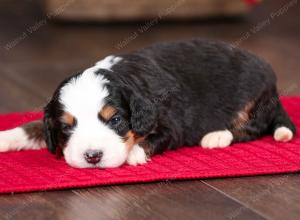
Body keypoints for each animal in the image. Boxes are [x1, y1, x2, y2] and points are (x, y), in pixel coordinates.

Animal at [0, 38, 296, 168]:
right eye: (66, 127)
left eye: (116, 120)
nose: (93, 156)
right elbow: (33, 126)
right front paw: (5, 137)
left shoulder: (172, 124)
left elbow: (153, 139)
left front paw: (134, 153)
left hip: (252, 100)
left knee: (252, 128)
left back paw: (217, 136)